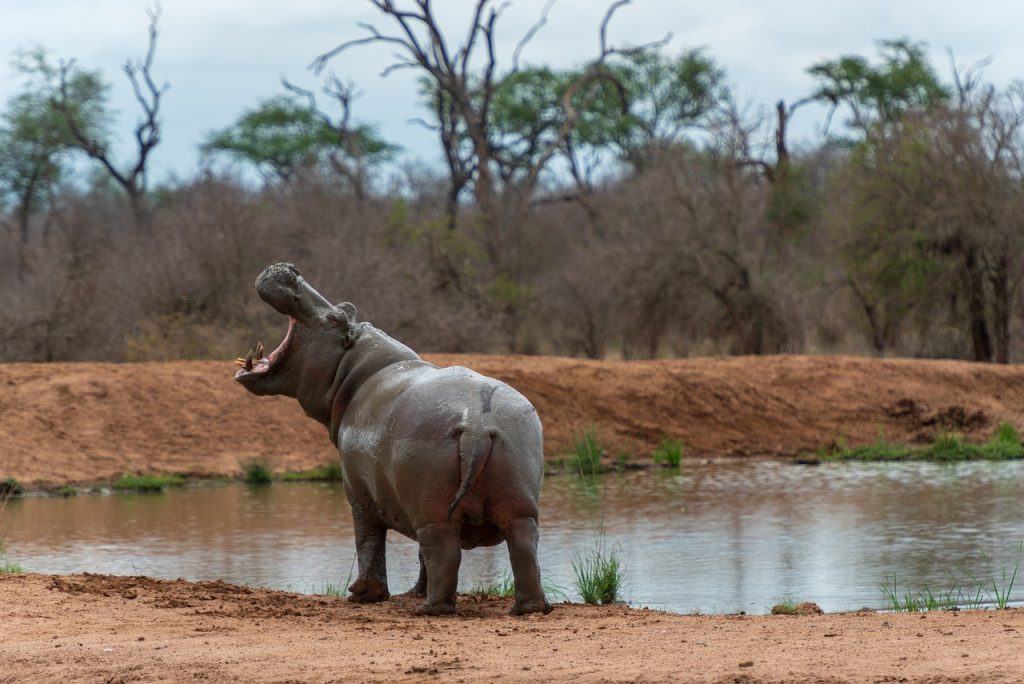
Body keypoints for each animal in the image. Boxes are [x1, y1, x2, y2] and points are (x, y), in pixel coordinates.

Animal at [234, 263, 551, 616]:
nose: (290, 269)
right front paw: (410, 592)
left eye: (335, 318)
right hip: (517, 503)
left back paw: (430, 609)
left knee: (443, 553)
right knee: (521, 549)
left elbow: (368, 540)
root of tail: (478, 425)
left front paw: (363, 594)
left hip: (434, 512)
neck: (353, 368)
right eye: (345, 307)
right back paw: (527, 608)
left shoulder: (358, 494)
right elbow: (416, 556)